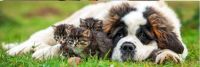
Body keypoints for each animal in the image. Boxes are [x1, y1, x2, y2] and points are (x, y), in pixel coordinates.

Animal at [2, 1, 188, 63]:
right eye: (119, 35)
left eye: (143, 36)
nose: (127, 47)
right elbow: (63, 46)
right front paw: (43, 54)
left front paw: (168, 55)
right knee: (34, 40)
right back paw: (17, 49)